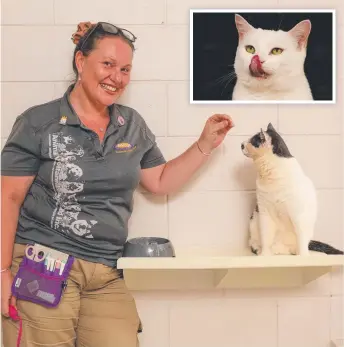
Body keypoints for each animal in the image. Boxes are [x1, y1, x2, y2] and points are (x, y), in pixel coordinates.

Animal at [242, 123, 344, 256]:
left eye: (253, 141)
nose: (241, 144)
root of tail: (282, 250)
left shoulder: (299, 215)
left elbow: (301, 239)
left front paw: (303, 256)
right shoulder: (264, 212)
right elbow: (266, 237)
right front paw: (264, 255)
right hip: (254, 221)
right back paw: (260, 250)